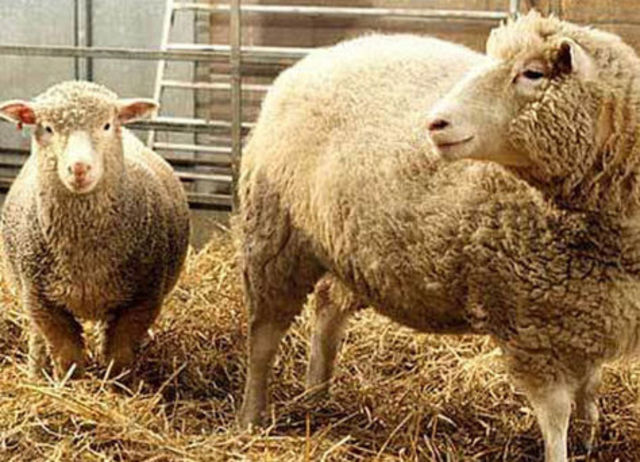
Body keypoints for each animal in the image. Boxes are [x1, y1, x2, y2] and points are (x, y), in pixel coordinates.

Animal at [0, 81, 190, 380]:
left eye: (107, 125)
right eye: (48, 127)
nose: (79, 168)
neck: (85, 257)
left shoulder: (142, 299)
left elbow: (120, 354)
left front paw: (119, 385)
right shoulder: (41, 300)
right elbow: (66, 355)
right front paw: (71, 384)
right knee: (37, 337)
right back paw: (36, 374)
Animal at [236, 13, 640, 462]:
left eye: (532, 73)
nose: (435, 123)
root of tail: (312, 60)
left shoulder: (590, 314)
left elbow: (591, 387)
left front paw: (590, 436)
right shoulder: (533, 329)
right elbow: (555, 417)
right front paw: (565, 446)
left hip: (346, 249)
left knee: (327, 311)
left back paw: (316, 395)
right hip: (275, 239)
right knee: (263, 337)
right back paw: (252, 416)